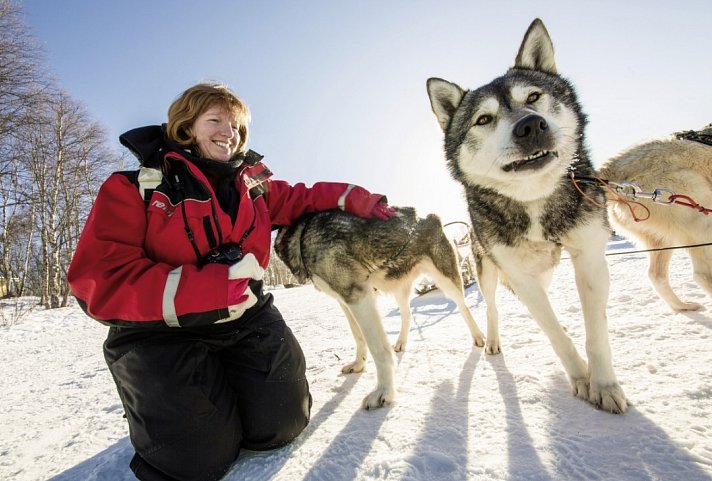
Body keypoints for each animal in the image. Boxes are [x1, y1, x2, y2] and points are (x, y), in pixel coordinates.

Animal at [272, 206, 484, 408]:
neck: (301, 233)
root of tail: (431, 218)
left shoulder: (358, 296)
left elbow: (379, 349)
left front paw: (384, 392)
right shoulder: (345, 301)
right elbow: (358, 337)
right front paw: (358, 364)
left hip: (446, 280)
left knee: (463, 306)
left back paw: (479, 337)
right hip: (398, 287)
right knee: (407, 314)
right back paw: (401, 342)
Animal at [426, 18, 624, 412]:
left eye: (532, 97)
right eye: (483, 119)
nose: (530, 125)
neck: (535, 203)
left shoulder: (590, 257)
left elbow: (595, 330)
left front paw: (603, 384)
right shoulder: (520, 275)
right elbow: (553, 331)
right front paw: (580, 377)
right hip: (488, 269)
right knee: (491, 308)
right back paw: (492, 339)